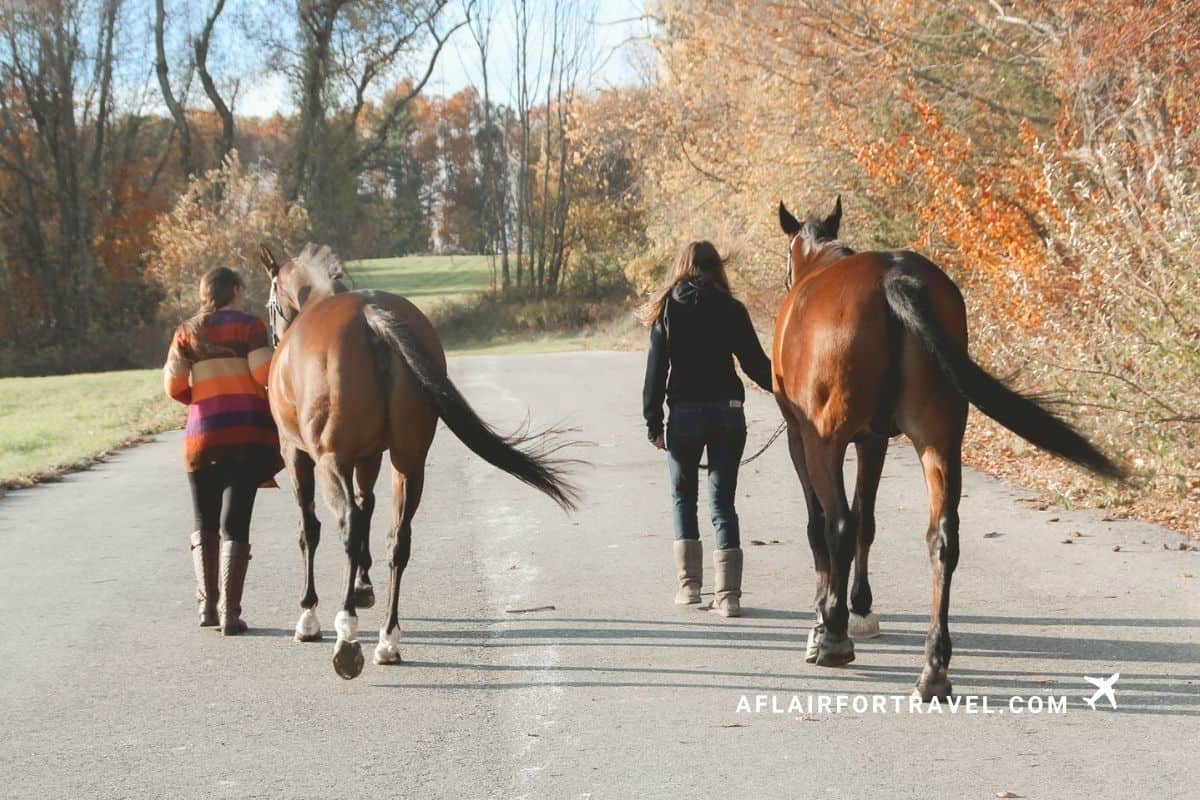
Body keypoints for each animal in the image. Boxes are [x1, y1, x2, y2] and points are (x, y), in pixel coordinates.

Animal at [259, 243, 579, 679]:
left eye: (270, 302)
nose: (272, 337)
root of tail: (369, 316)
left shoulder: (298, 454)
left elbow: (312, 528)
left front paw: (309, 616)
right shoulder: (370, 456)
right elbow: (368, 506)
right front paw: (362, 586)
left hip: (332, 460)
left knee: (348, 524)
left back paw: (347, 640)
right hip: (408, 460)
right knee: (398, 538)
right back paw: (388, 640)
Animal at [773, 197, 1122, 701]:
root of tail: (891, 280)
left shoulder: (802, 437)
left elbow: (824, 524)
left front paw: (826, 615)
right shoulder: (874, 440)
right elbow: (867, 521)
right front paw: (862, 605)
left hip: (829, 442)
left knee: (837, 522)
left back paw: (835, 635)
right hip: (939, 438)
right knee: (942, 538)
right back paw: (933, 666)